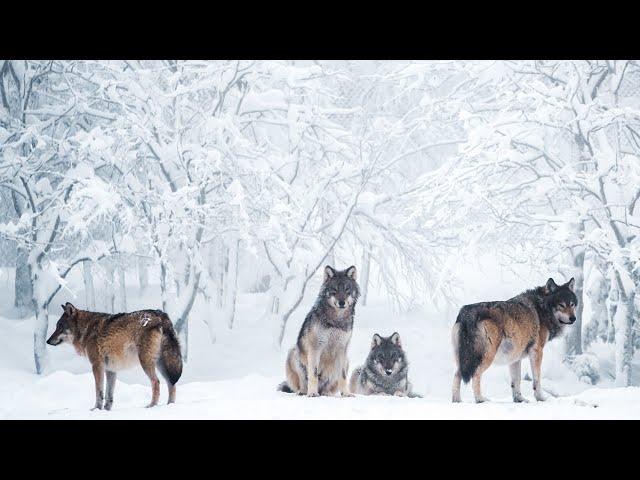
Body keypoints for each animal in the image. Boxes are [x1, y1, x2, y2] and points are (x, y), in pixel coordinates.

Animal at [46, 304, 182, 408]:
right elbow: (109, 395)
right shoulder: (110, 370)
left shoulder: (97, 366)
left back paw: (152, 406)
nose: (47, 341)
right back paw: (170, 405)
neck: (86, 330)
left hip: (146, 362)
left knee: (156, 382)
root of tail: (161, 315)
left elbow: (99, 391)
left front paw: (96, 409)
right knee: (171, 383)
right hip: (162, 364)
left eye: (60, 327)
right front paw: (106, 410)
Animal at [276, 266, 360, 398]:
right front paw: (312, 393)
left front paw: (346, 393)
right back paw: (304, 391)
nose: (342, 302)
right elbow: (313, 374)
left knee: (327, 387)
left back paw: (326, 393)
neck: (336, 320)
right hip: (293, 352)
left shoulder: (342, 349)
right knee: (301, 385)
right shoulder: (315, 348)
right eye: (334, 290)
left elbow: (343, 376)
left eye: (347, 290)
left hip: (347, 361)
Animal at [450, 276, 580, 404]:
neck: (542, 308)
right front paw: (541, 398)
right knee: (475, 375)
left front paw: (519, 399)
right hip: (485, 357)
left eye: (572, 304)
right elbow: (537, 379)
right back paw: (480, 399)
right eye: (561, 305)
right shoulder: (537, 351)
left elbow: (516, 381)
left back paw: (457, 401)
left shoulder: (515, 357)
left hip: (463, 360)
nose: (573, 318)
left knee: (456, 376)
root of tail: (467, 313)